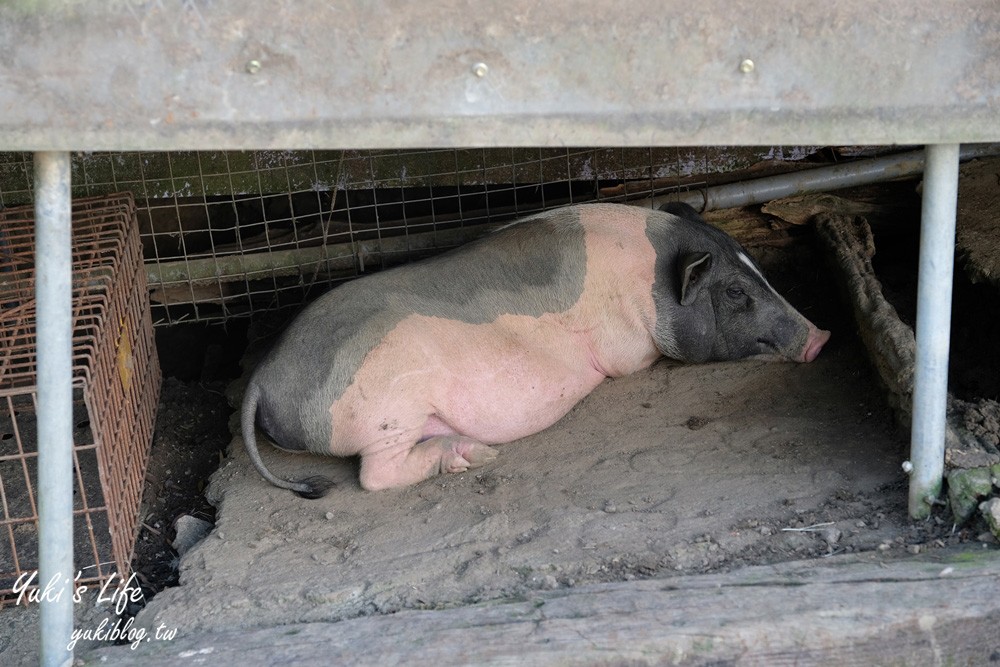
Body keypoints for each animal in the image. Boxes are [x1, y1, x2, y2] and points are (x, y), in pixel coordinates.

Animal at [240, 201, 828, 498]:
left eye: (755, 265)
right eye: (735, 293)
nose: (822, 338)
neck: (649, 283)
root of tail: (263, 377)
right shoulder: (626, 350)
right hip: (387, 410)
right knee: (374, 476)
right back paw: (477, 456)